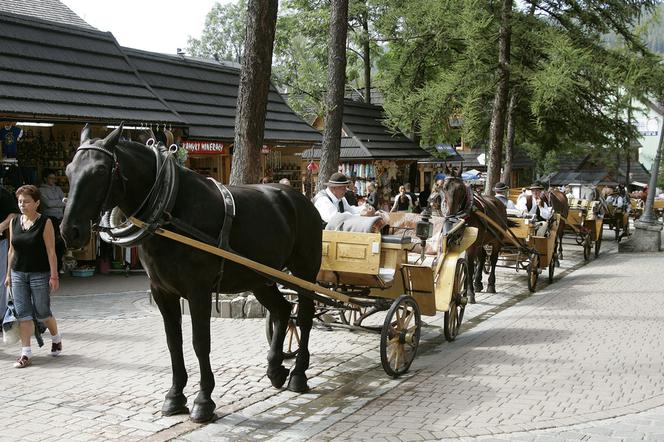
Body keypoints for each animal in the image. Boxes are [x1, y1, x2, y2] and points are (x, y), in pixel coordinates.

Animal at [61, 126, 322, 424]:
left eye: (101, 170)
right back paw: (276, 370)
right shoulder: (162, 292)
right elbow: (174, 342)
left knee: (304, 317)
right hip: (260, 278)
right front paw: (175, 396)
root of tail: (300, 198)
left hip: (303, 273)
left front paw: (203, 400)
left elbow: (200, 343)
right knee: (282, 311)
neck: (170, 210)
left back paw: (298, 375)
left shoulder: (198, 292)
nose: (70, 231)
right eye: (69, 170)